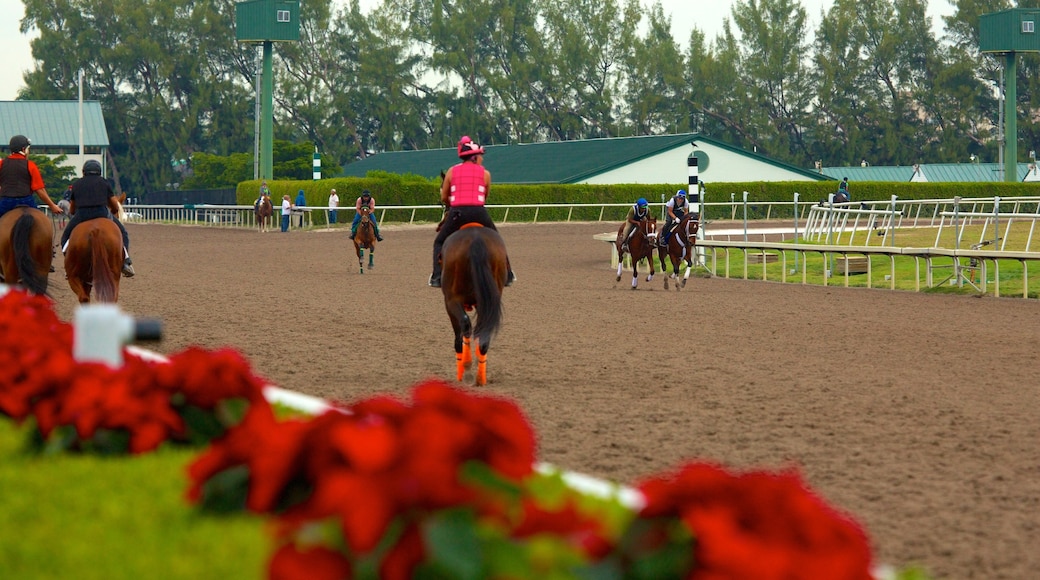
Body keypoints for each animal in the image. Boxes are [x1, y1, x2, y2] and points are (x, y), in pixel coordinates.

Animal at [438, 225, 507, 388]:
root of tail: (476, 238)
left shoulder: (449, 303)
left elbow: (459, 337)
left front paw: (461, 372)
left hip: (452, 300)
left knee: (465, 324)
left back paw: (467, 369)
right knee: (484, 332)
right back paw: (481, 378)